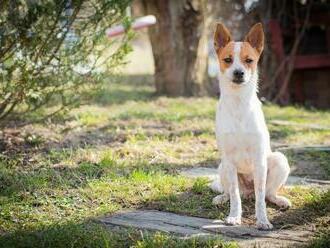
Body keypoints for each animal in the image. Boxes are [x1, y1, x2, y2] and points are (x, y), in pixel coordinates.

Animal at [211, 23, 292, 231]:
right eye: (228, 60)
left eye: (249, 60)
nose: (239, 72)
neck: (239, 103)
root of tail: (248, 191)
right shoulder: (229, 160)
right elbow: (234, 196)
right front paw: (234, 217)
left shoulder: (259, 161)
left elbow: (261, 198)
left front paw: (263, 220)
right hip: (223, 166)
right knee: (232, 192)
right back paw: (221, 198)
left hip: (279, 160)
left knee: (266, 194)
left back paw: (279, 200)